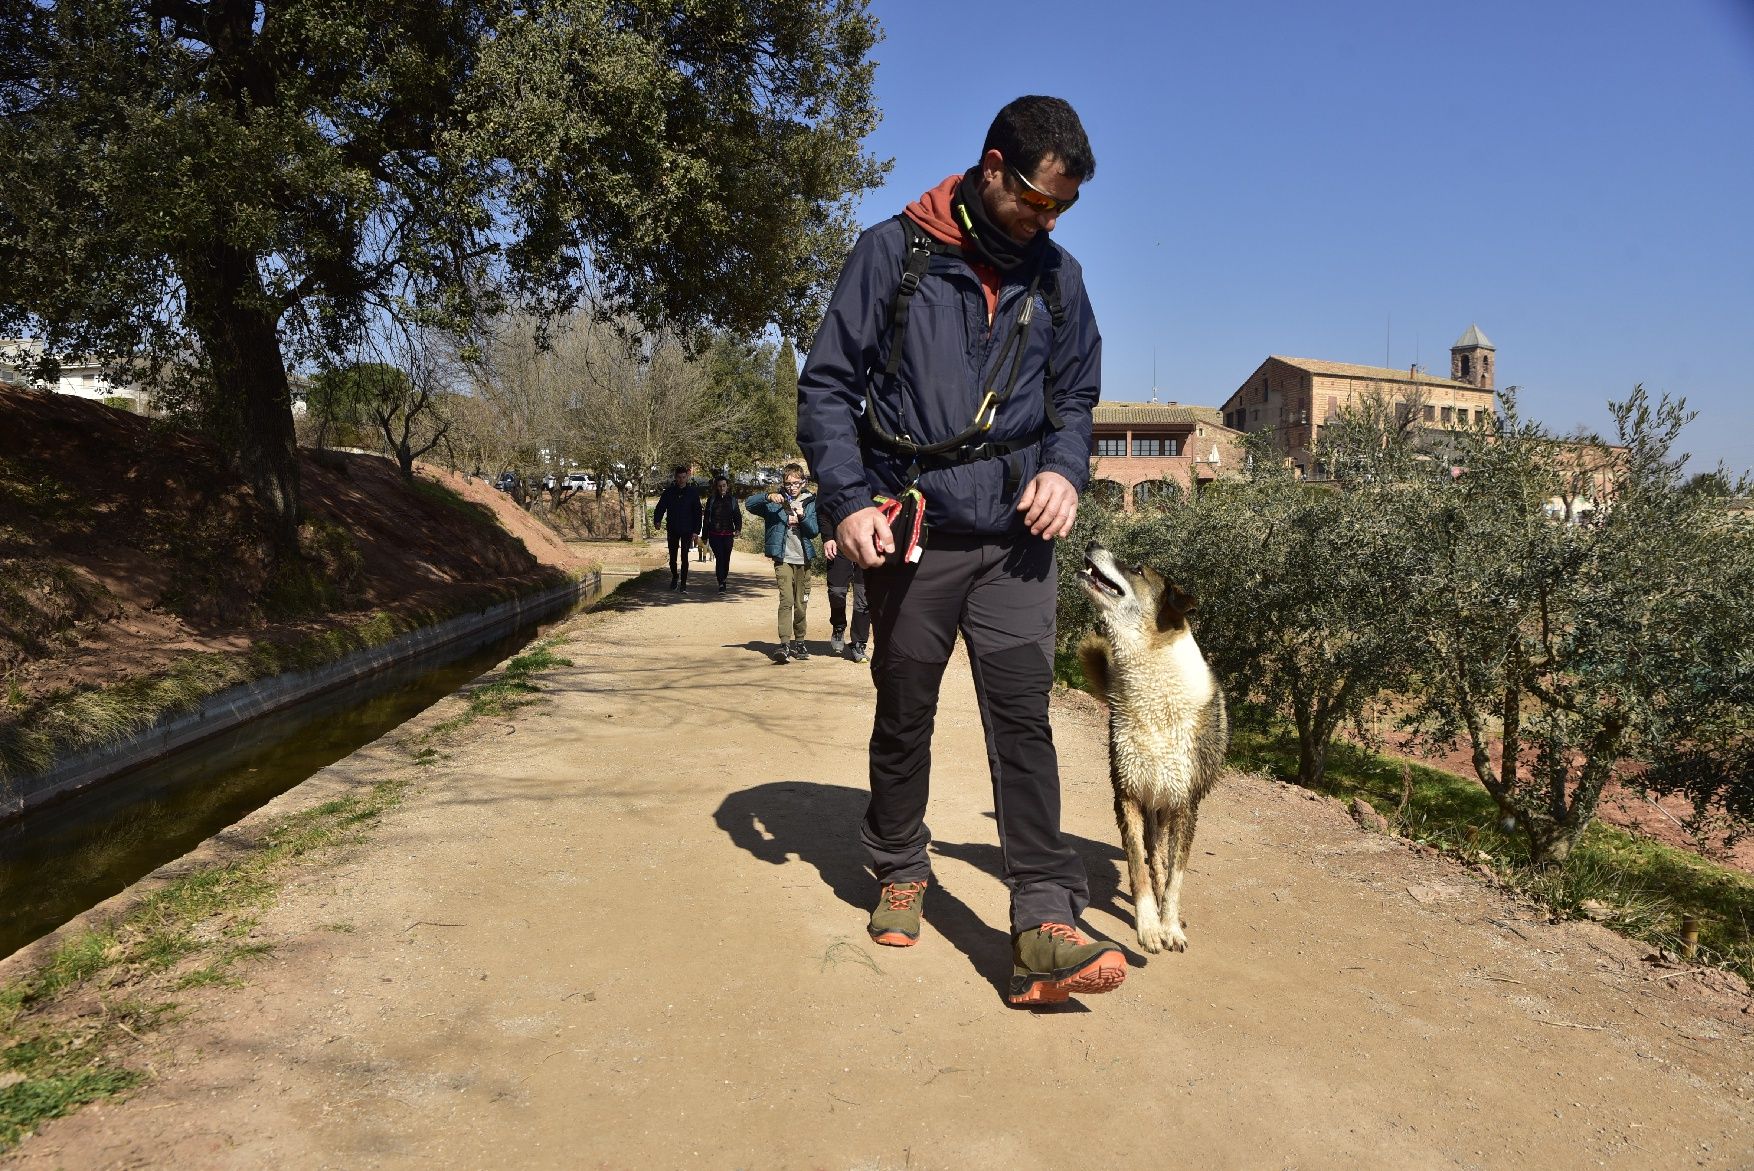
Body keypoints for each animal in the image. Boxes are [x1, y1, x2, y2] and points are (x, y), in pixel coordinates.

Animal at [1073, 539, 1227, 953]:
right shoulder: (1127, 794)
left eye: (1138, 569)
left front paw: (1170, 926)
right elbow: (1139, 869)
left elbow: (1175, 879)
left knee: (1164, 862)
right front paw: (1148, 927)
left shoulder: (1184, 806)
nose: (1092, 541)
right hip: (1151, 804)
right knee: (1153, 856)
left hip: (1166, 807)